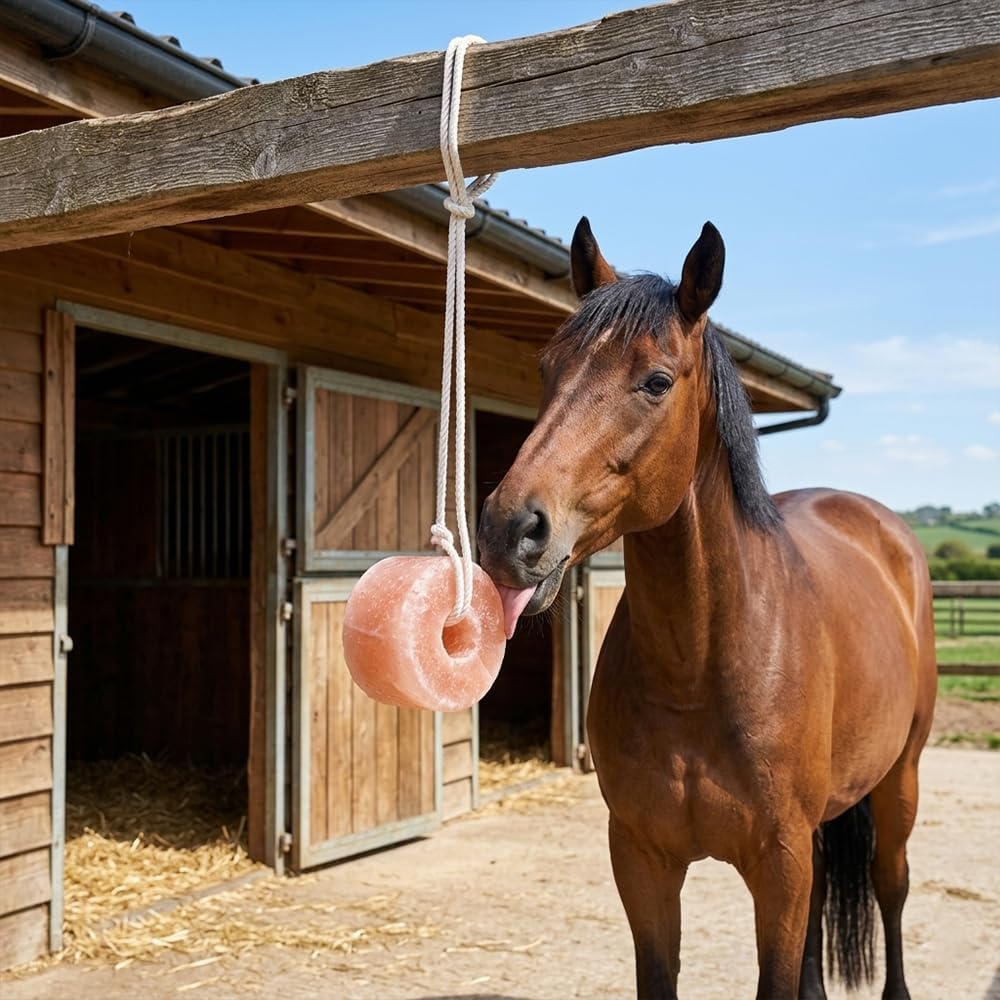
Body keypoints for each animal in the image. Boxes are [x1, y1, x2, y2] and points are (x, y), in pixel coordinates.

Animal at [477, 217, 937, 1000]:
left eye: (657, 381)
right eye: (546, 370)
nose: (509, 530)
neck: (699, 670)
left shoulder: (778, 867)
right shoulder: (643, 861)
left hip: (898, 778)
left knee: (892, 887)